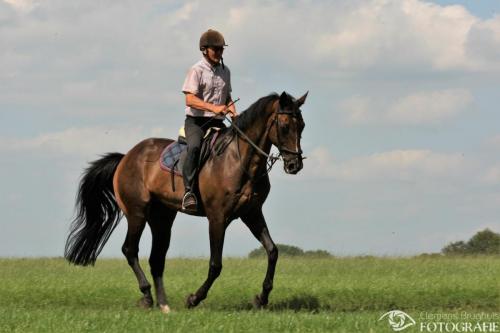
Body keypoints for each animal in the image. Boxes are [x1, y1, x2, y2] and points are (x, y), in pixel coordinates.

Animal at [65, 90, 308, 312]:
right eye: (285, 126)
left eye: (303, 126)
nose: (294, 165)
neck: (240, 161)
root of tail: (126, 157)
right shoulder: (217, 217)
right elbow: (215, 264)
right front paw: (194, 299)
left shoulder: (252, 213)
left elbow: (273, 251)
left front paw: (262, 298)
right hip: (137, 213)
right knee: (130, 250)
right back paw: (147, 297)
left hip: (162, 218)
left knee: (156, 259)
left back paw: (164, 304)